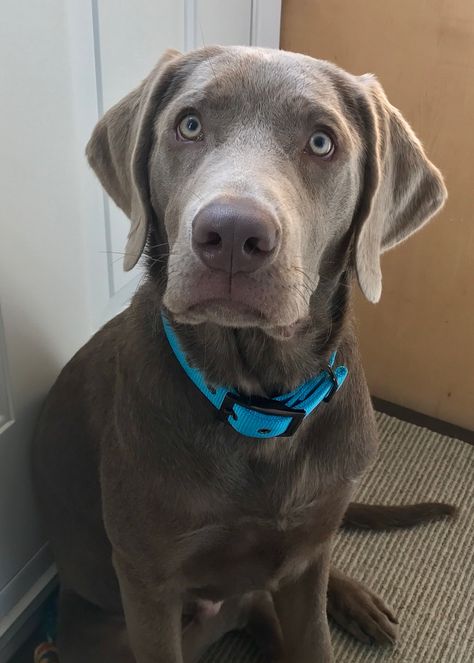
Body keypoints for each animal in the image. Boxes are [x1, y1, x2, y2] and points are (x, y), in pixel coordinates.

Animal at [32, 48, 448, 663]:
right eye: (189, 125)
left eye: (322, 142)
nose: (231, 234)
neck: (259, 404)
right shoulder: (148, 582)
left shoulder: (305, 556)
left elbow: (314, 631)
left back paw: (355, 600)